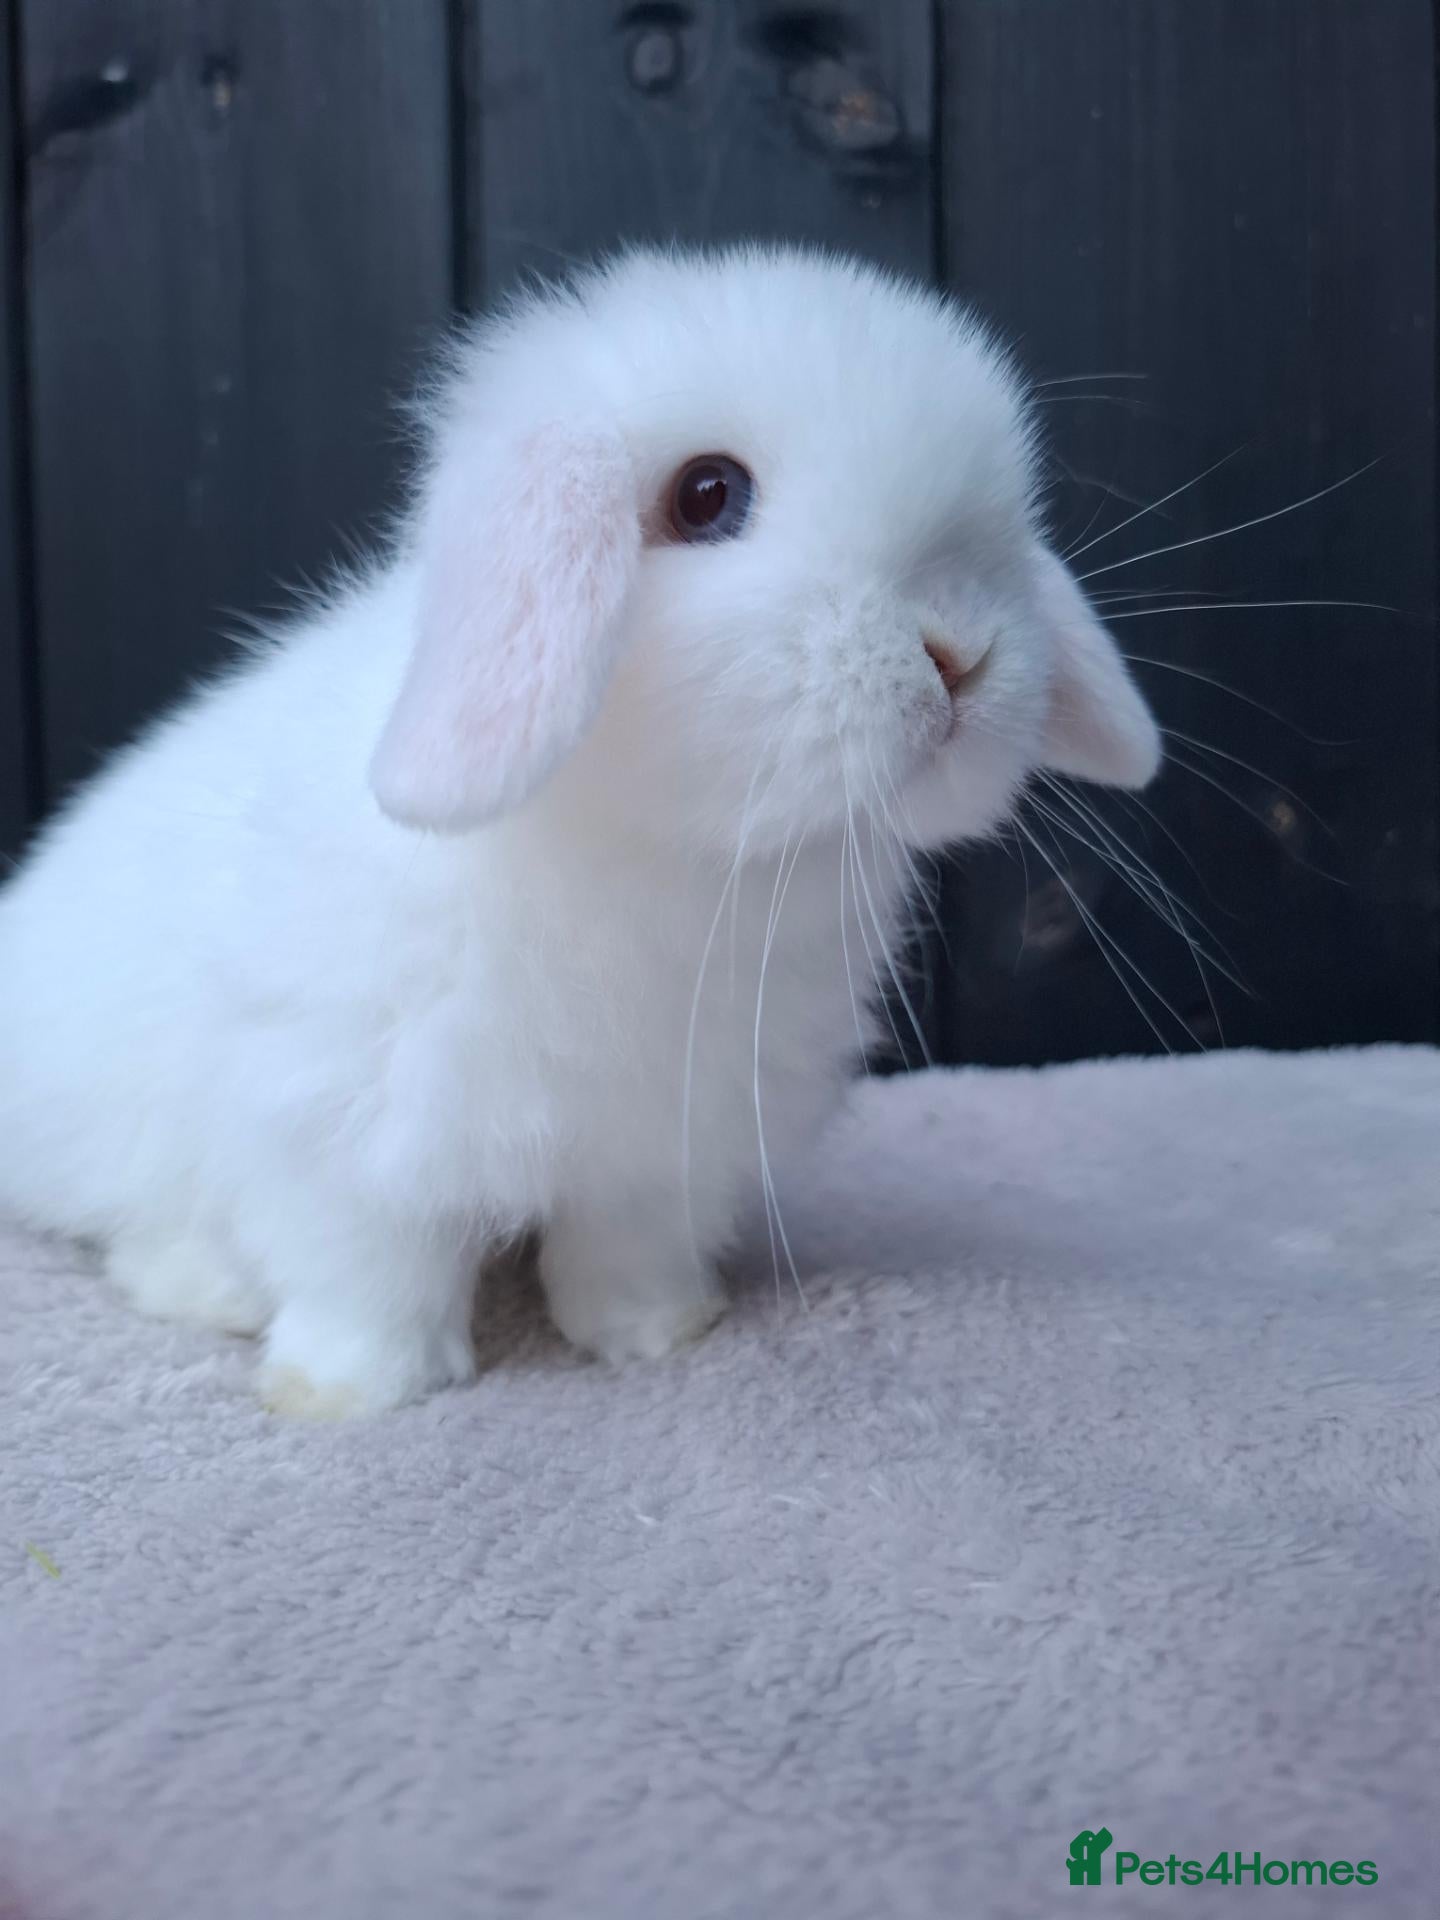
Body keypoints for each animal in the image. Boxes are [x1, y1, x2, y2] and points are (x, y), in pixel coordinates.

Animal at [0, 245, 1160, 1417]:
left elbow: (623, 1255)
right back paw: (212, 1289)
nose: (961, 654)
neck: (669, 863)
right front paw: (350, 1392)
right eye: (708, 495)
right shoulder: (337, 1130)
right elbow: (366, 1278)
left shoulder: (661, 1152)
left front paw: (658, 1336)